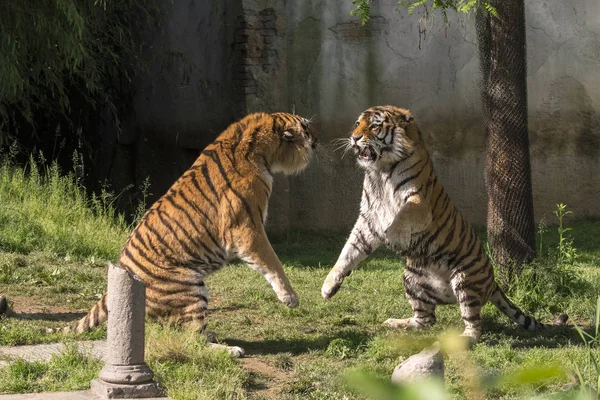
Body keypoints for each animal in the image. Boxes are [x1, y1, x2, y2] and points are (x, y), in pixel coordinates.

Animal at [51, 111, 318, 356]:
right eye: (306, 127)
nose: (317, 139)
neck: (258, 142)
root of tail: (122, 268)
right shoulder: (247, 229)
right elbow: (272, 262)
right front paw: (290, 297)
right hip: (190, 289)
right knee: (192, 341)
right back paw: (230, 350)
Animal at [322, 104, 564, 342]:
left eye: (374, 126)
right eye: (357, 124)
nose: (354, 138)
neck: (380, 170)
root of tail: (493, 280)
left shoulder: (419, 200)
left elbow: (403, 215)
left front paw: (394, 237)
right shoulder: (369, 217)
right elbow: (349, 250)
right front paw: (329, 286)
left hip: (465, 279)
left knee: (474, 323)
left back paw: (465, 338)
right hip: (411, 278)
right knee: (426, 319)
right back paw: (397, 323)